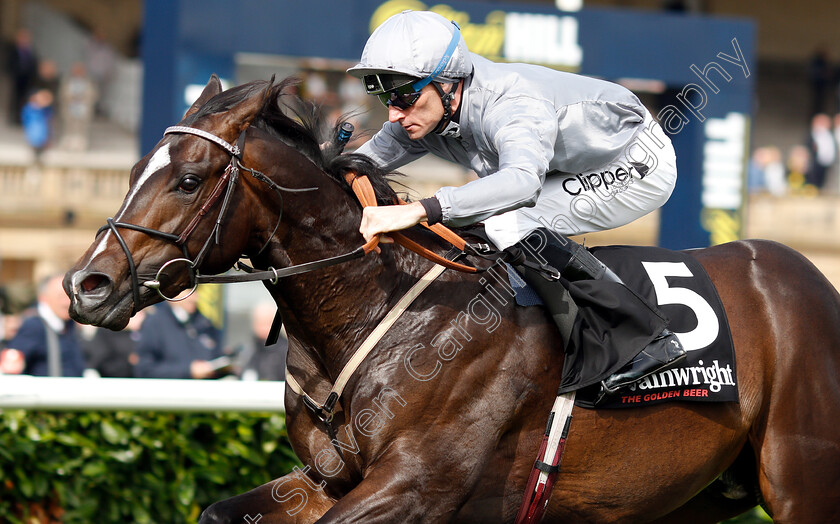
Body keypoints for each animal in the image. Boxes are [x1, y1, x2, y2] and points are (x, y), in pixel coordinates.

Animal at [64, 75, 840, 520]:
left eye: (190, 179)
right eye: (133, 170)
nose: (86, 285)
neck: (374, 311)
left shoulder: (420, 485)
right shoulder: (327, 481)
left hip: (801, 479)